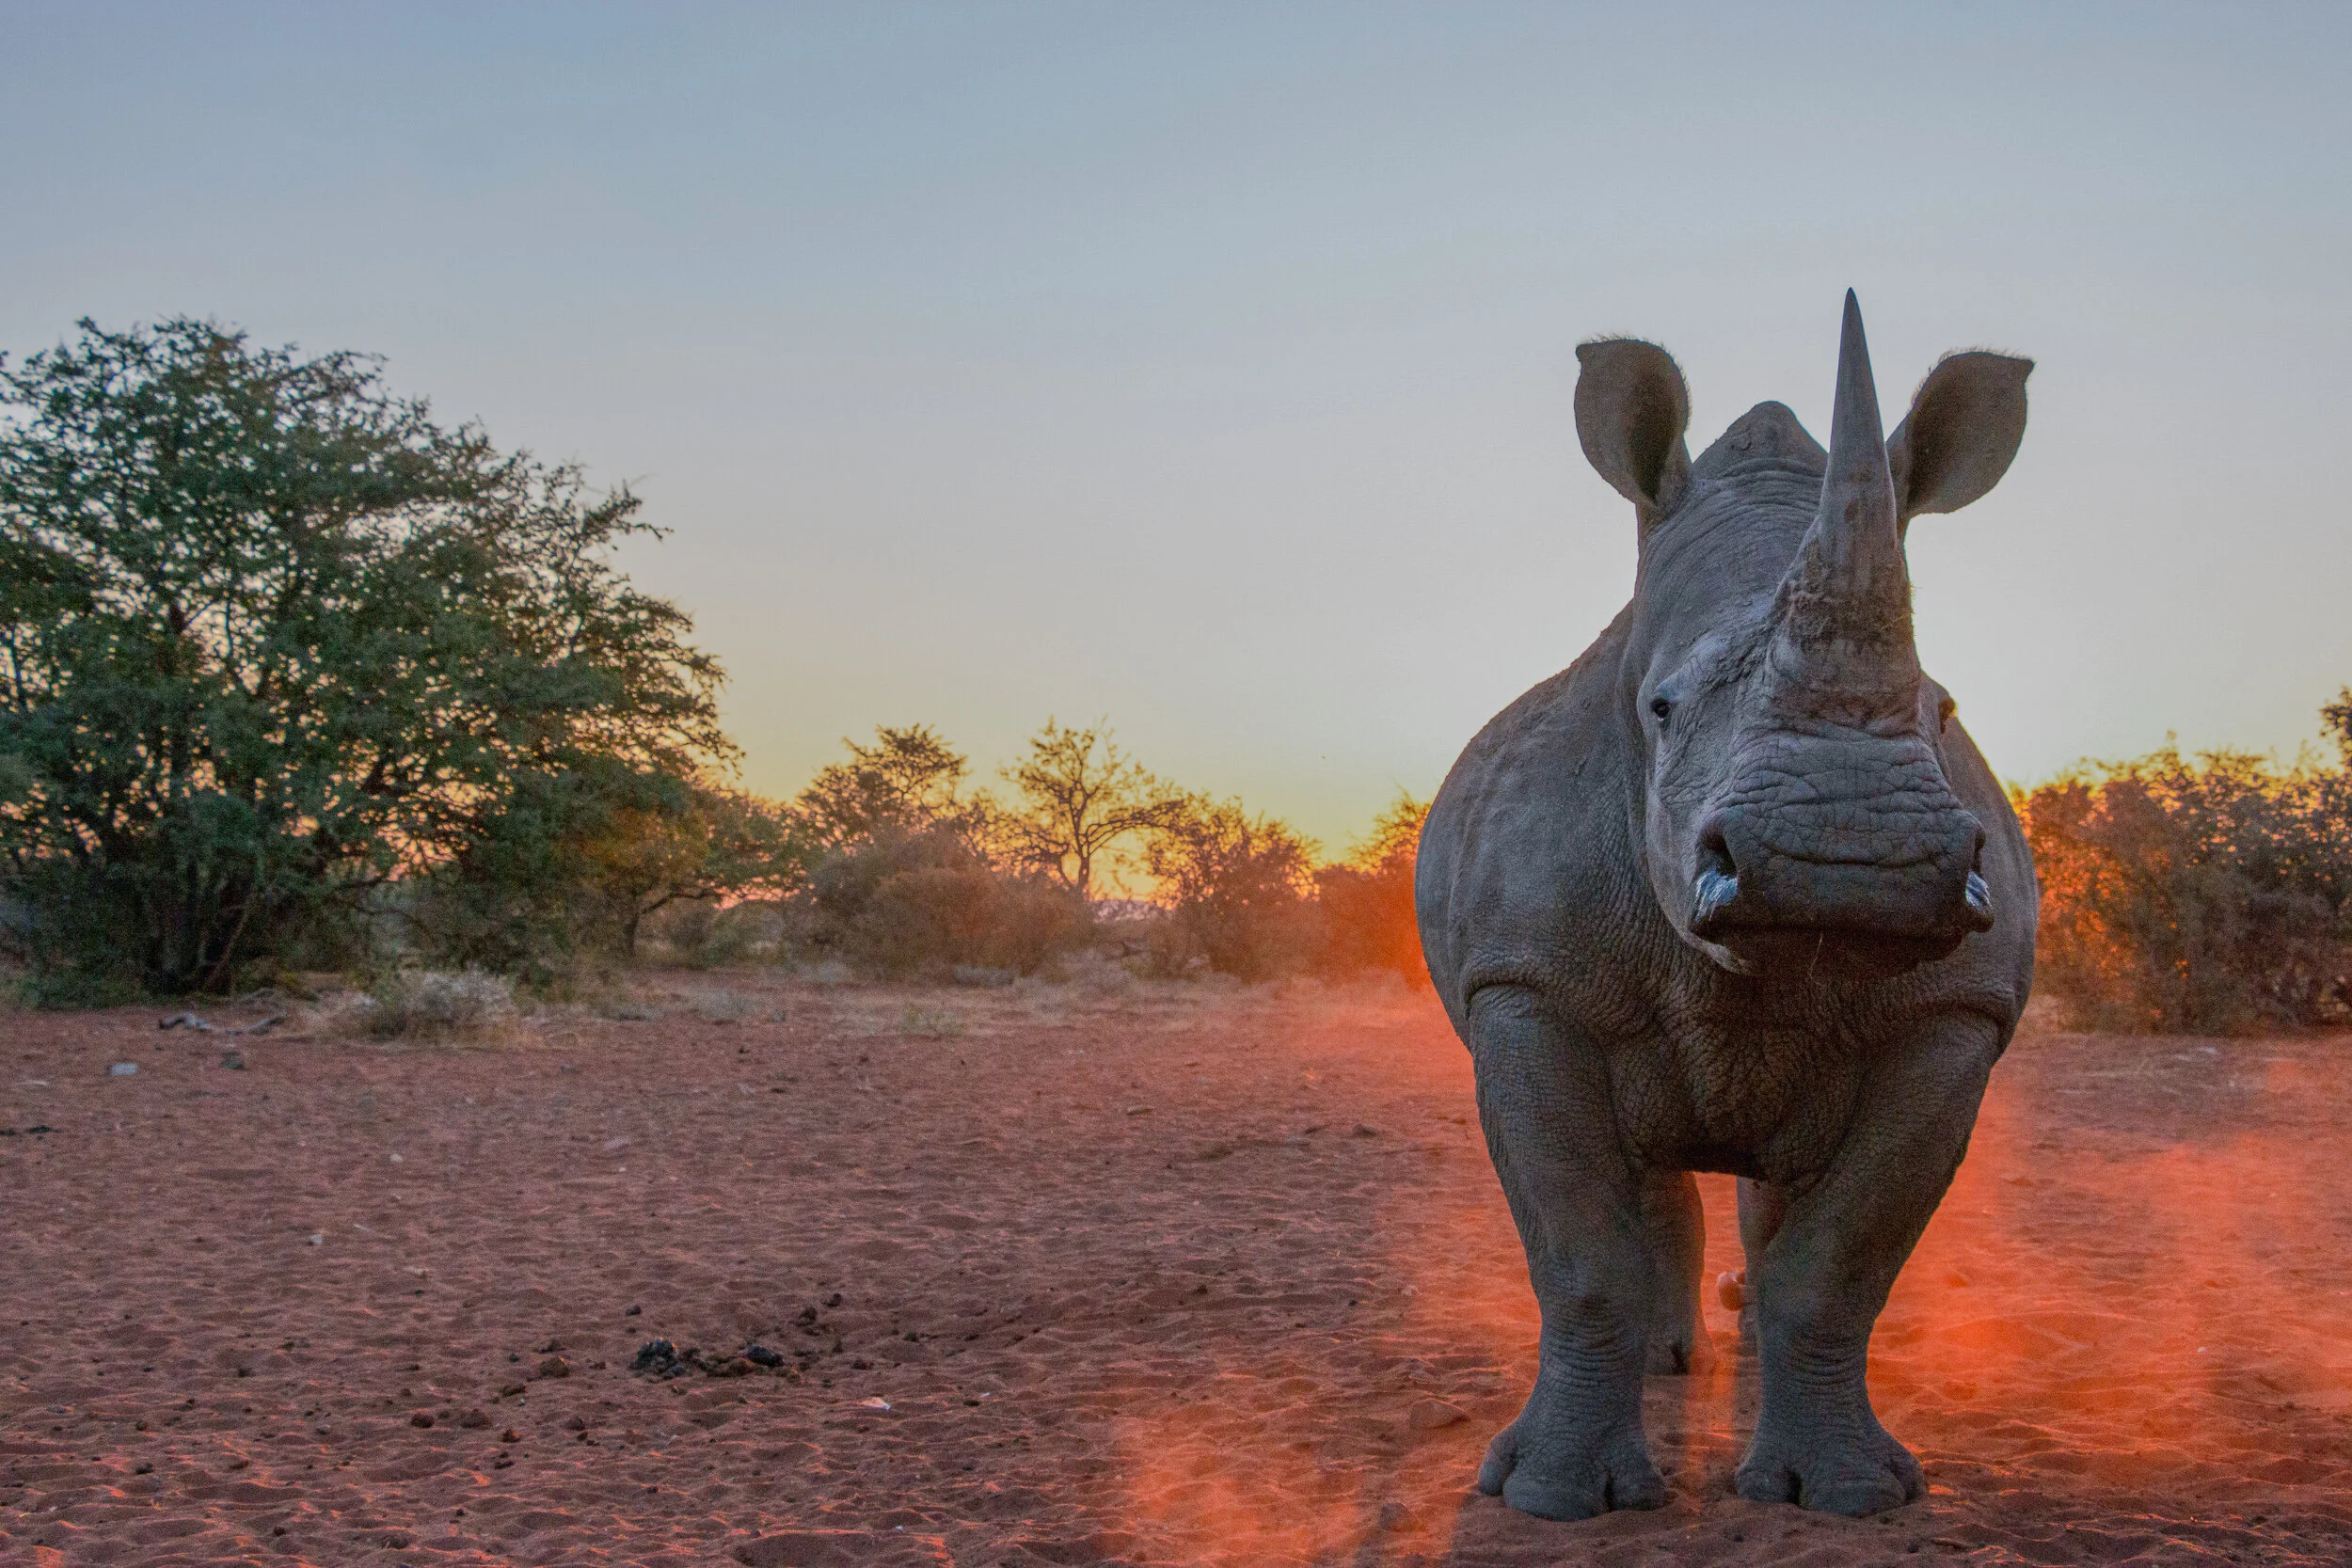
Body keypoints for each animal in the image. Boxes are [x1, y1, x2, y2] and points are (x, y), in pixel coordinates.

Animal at [1415, 293, 2036, 1520]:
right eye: (1658, 707)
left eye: (1943, 709)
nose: (1847, 858)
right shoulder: (1525, 981)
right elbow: (1581, 1254)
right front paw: (1550, 1496)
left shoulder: (1954, 1012)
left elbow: (1842, 1258)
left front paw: (1850, 1493)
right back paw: (1670, 1361)